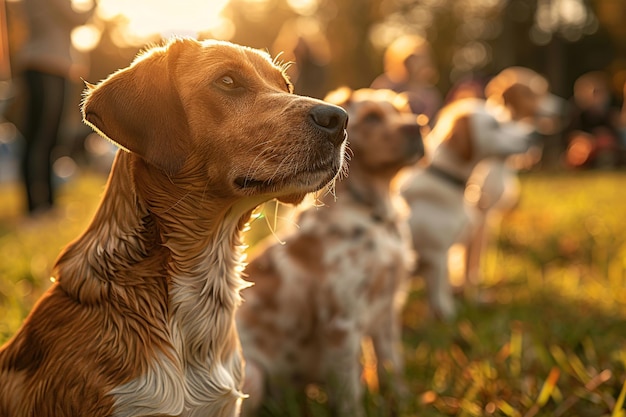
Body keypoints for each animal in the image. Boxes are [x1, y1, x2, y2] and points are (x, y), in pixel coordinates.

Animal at [236, 88, 422, 416]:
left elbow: (392, 366)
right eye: (372, 118)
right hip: (254, 374)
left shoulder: (387, 309)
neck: (375, 213)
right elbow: (350, 395)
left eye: (402, 111)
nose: (418, 127)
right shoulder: (342, 323)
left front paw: (402, 402)